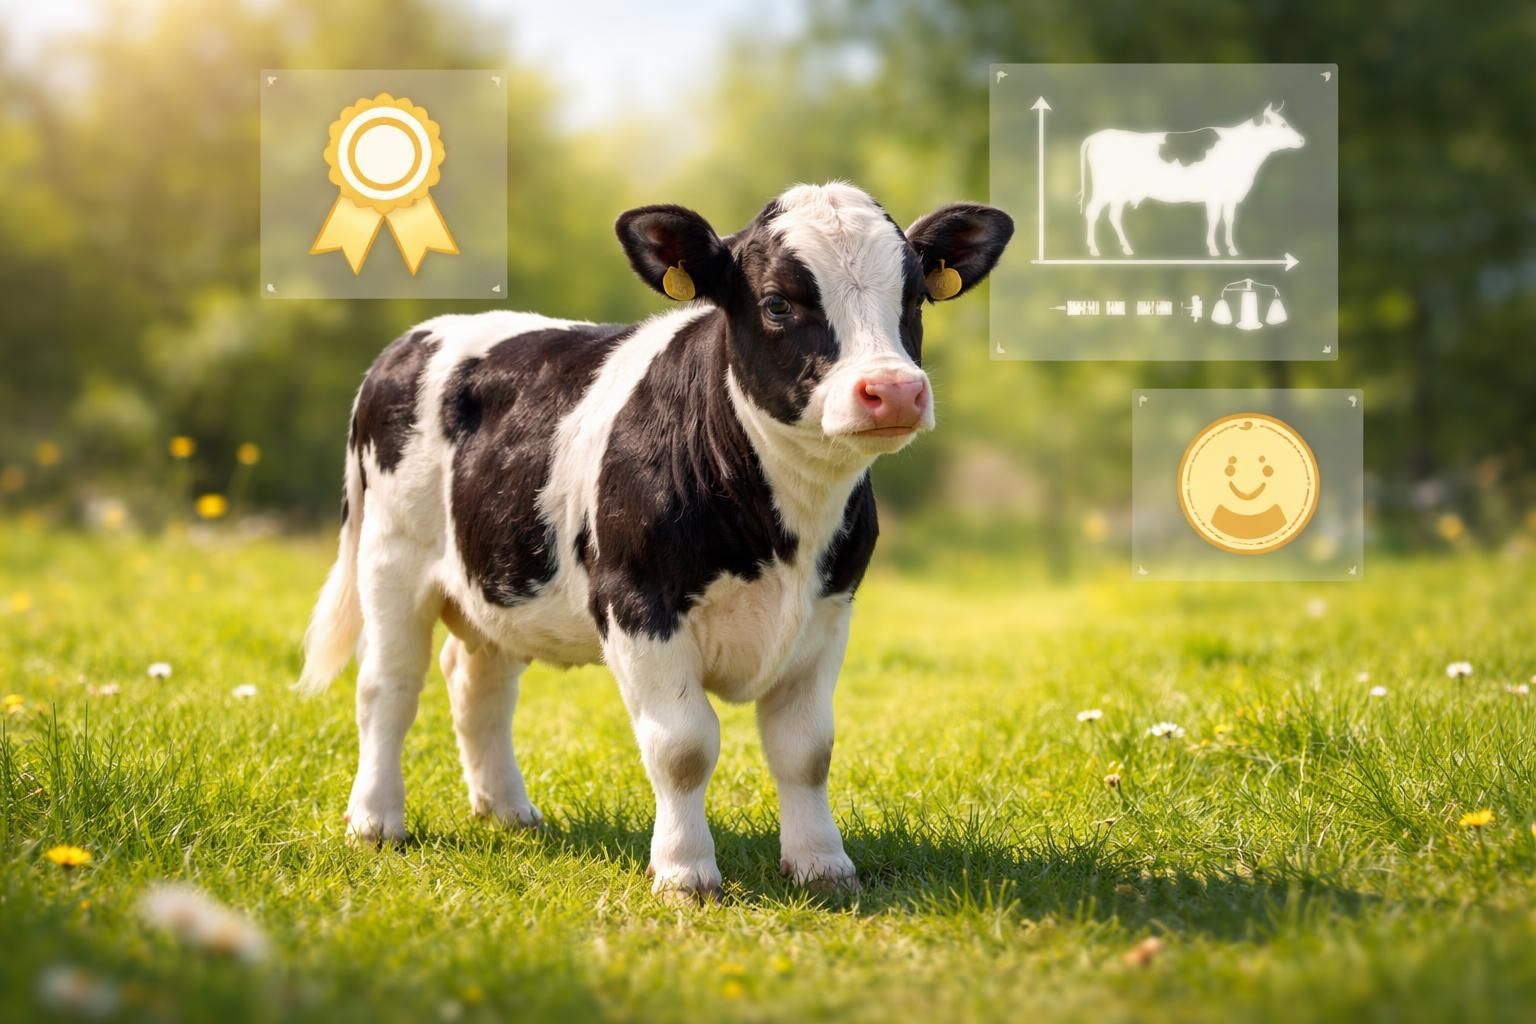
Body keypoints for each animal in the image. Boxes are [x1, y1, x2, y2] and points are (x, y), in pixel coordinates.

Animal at [297, 182, 1014, 900]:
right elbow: (683, 746)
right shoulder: (637, 600)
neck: (785, 531)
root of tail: (414, 339)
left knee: (478, 684)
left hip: (494, 580)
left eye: (914, 297)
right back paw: (376, 821)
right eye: (778, 303)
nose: (893, 390)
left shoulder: (830, 610)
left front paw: (823, 865)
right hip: (390, 559)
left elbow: (806, 749)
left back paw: (508, 811)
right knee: (387, 685)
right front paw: (685, 872)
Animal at [1079, 103, 1304, 258]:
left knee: (1114, 216)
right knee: (1092, 212)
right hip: (1104, 189)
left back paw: (1126, 248)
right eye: (1283, 124)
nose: (1302, 139)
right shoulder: (1214, 195)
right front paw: (1213, 249)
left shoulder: (1229, 196)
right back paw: (1094, 249)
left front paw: (1231, 249)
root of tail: (1097, 136)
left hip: (1119, 193)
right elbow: (1214, 219)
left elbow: (1228, 219)